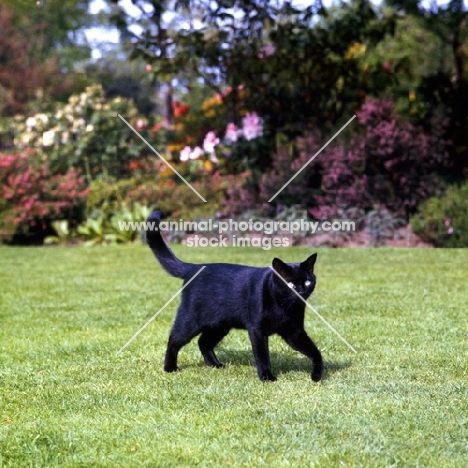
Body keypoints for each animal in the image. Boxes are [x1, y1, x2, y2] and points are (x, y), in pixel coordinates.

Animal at [145, 211, 322, 380]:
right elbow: (262, 355)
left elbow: (315, 351)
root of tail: (193, 267)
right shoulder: (257, 330)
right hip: (190, 320)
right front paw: (266, 377)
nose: (301, 292)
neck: (283, 306)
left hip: (219, 325)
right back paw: (170, 368)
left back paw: (215, 365)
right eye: (290, 284)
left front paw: (317, 375)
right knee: (174, 340)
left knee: (203, 342)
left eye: (307, 281)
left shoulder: (294, 331)